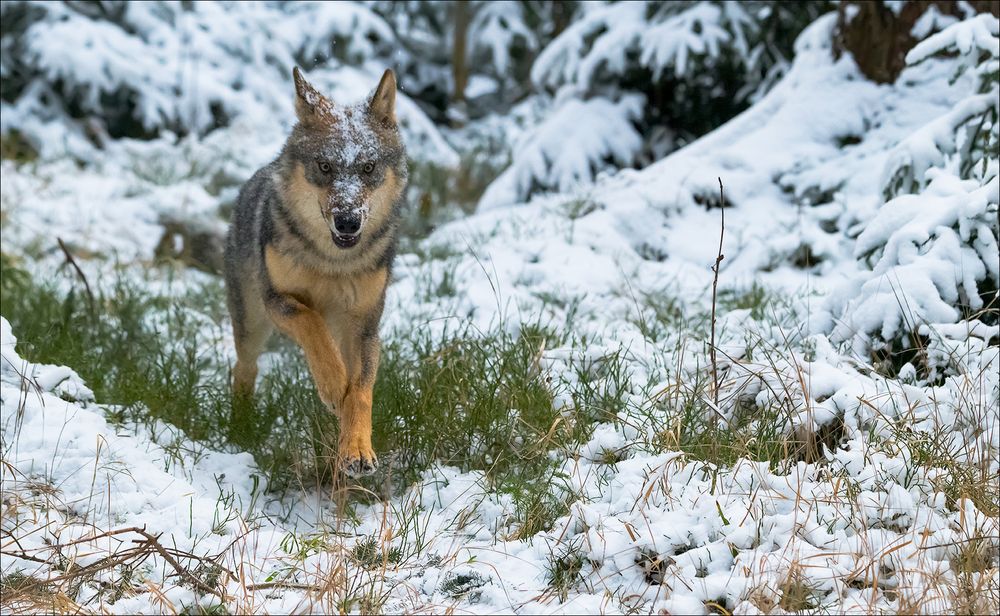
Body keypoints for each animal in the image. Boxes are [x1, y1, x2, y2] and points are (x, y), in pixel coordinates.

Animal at [227, 70, 406, 478]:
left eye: (368, 168)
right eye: (325, 167)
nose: (347, 221)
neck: (332, 262)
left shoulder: (365, 325)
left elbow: (361, 391)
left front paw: (356, 451)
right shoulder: (278, 301)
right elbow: (311, 324)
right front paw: (334, 386)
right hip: (251, 324)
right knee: (244, 369)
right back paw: (239, 425)